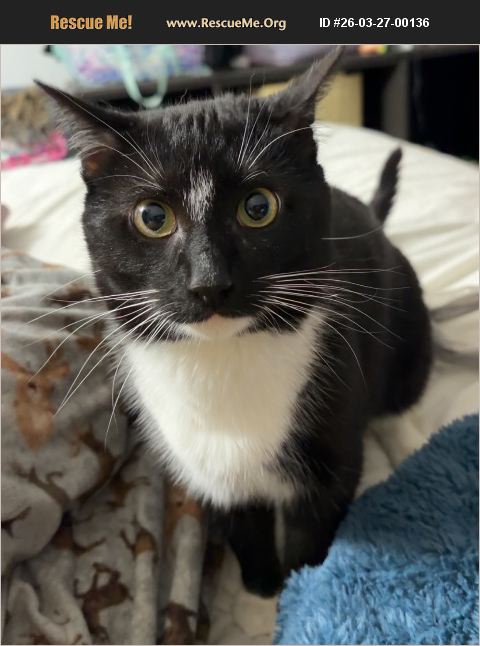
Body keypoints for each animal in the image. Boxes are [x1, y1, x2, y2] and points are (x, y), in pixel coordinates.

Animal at [39, 47, 432, 597]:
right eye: (152, 217)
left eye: (258, 207)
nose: (209, 282)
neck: (221, 362)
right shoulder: (203, 464)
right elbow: (242, 521)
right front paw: (261, 583)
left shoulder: (332, 444)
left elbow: (314, 529)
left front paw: (298, 588)